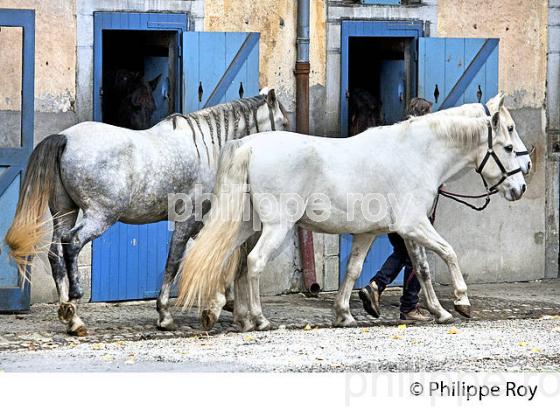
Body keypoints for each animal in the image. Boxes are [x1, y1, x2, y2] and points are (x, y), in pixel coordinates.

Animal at [7, 89, 288, 334]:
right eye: (283, 122)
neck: (206, 148)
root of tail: (65, 138)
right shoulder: (189, 221)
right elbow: (175, 262)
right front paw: (167, 314)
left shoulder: (200, 225)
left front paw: (223, 303)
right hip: (100, 216)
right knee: (72, 243)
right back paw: (75, 307)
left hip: (65, 213)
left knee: (55, 253)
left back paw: (69, 315)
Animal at [176, 96, 524, 330]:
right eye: (508, 145)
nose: (519, 187)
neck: (417, 153)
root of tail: (248, 146)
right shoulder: (414, 225)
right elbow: (448, 252)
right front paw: (462, 302)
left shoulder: (374, 232)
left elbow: (384, 270)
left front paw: (346, 313)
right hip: (277, 227)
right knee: (253, 262)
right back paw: (259, 320)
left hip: (246, 224)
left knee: (221, 256)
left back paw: (222, 313)